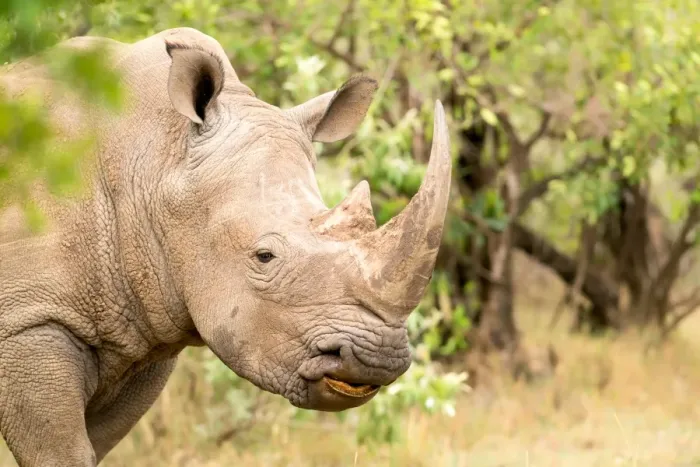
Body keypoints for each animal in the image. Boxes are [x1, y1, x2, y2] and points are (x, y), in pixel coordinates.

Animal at [0, 28, 451, 466]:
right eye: (264, 257)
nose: (377, 358)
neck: (157, 156)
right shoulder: (27, 321)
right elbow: (61, 451)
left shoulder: (141, 332)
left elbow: (98, 443)